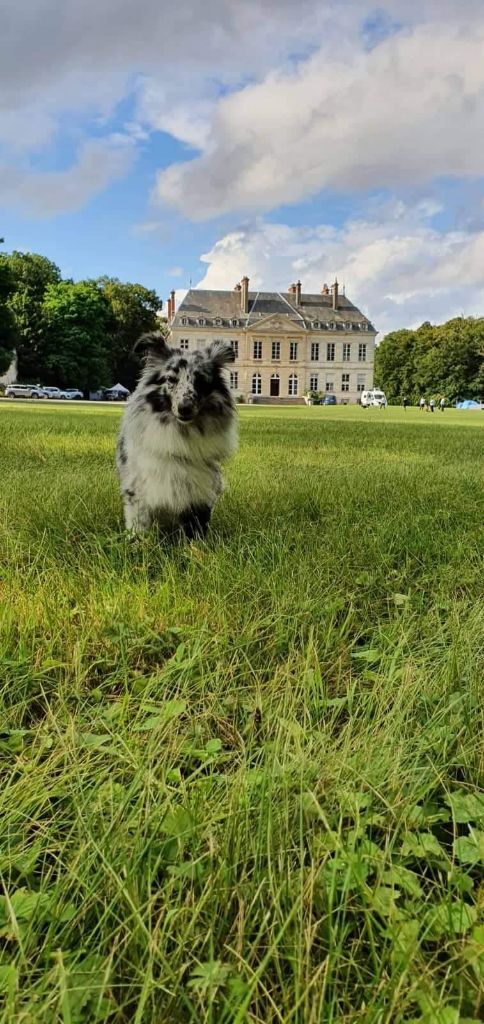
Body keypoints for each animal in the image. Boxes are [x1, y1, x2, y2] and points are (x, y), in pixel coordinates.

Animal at [117, 335, 237, 544]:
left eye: (201, 381)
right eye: (170, 379)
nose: (184, 408)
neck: (181, 432)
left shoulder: (199, 489)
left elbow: (196, 528)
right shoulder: (138, 488)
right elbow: (139, 523)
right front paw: (139, 544)